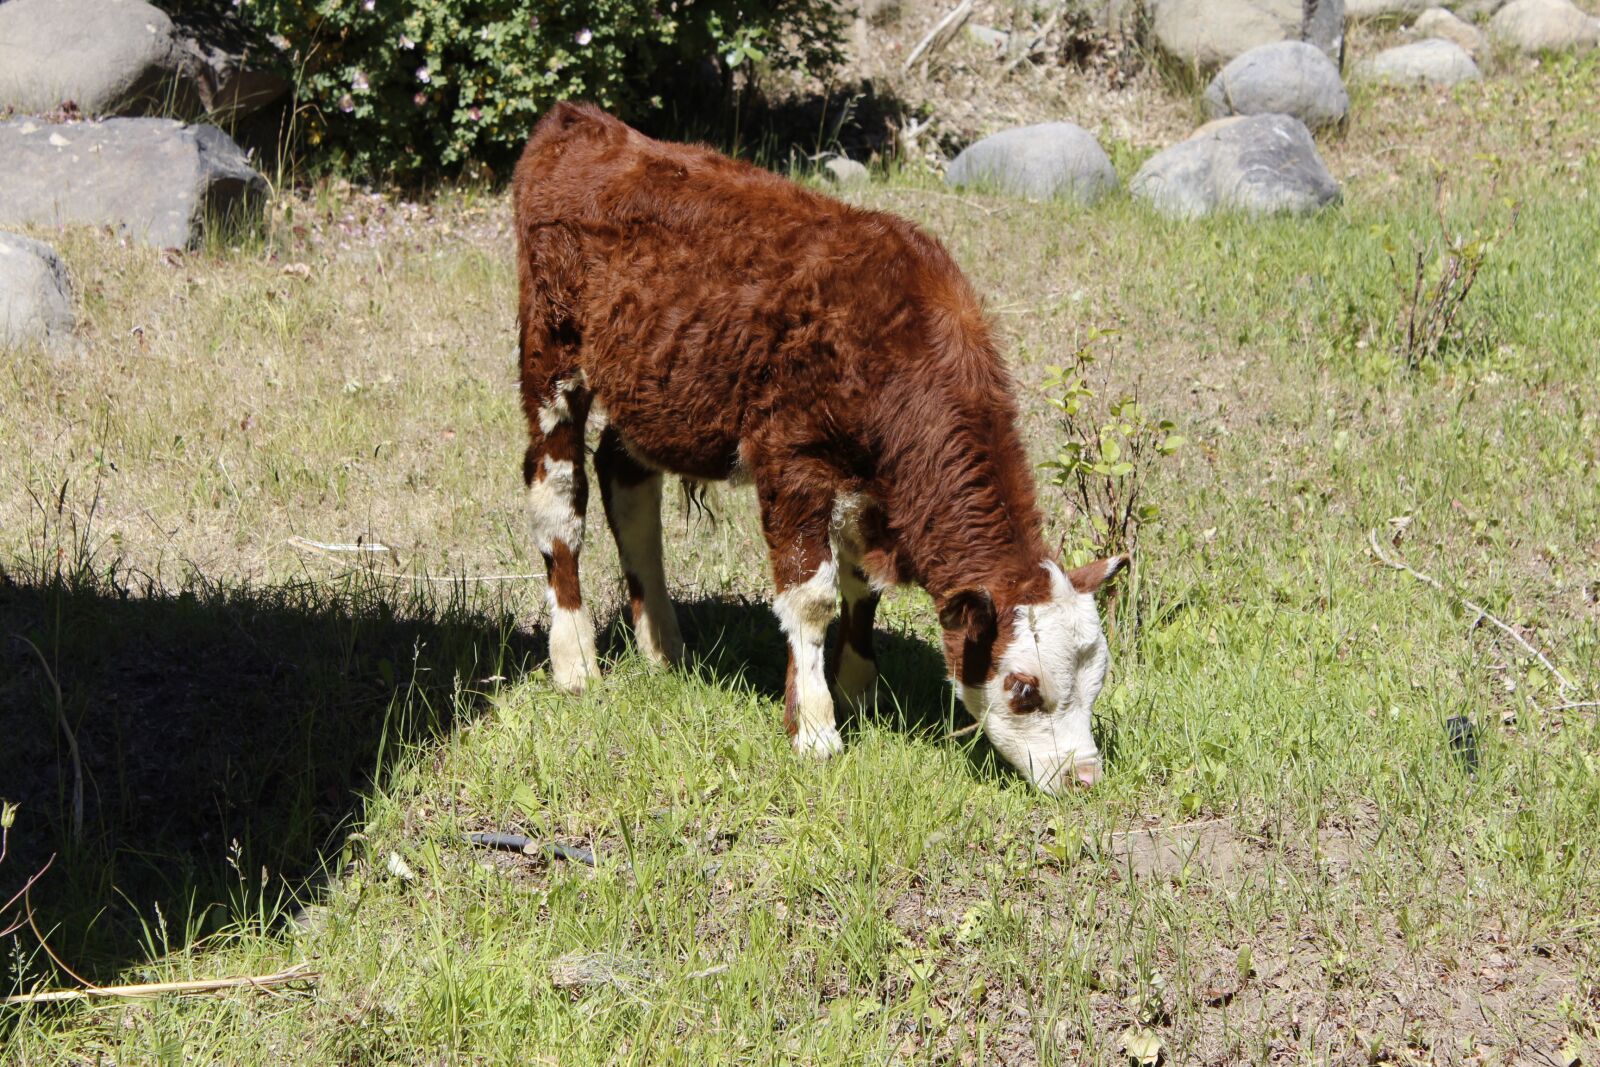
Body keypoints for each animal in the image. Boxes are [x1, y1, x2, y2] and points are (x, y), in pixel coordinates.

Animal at [512, 103, 1126, 794]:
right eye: (1024, 688)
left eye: (1097, 684)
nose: (1084, 778)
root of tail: (582, 122)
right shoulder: (792, 456)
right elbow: (811, 598)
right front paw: (814, 727)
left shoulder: (871, 481)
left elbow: (863, 584)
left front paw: (858, 689)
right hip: (551, 354)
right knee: (559, 495)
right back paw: (575, 660)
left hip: (656, 390)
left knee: (625, 478)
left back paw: (664, 648)